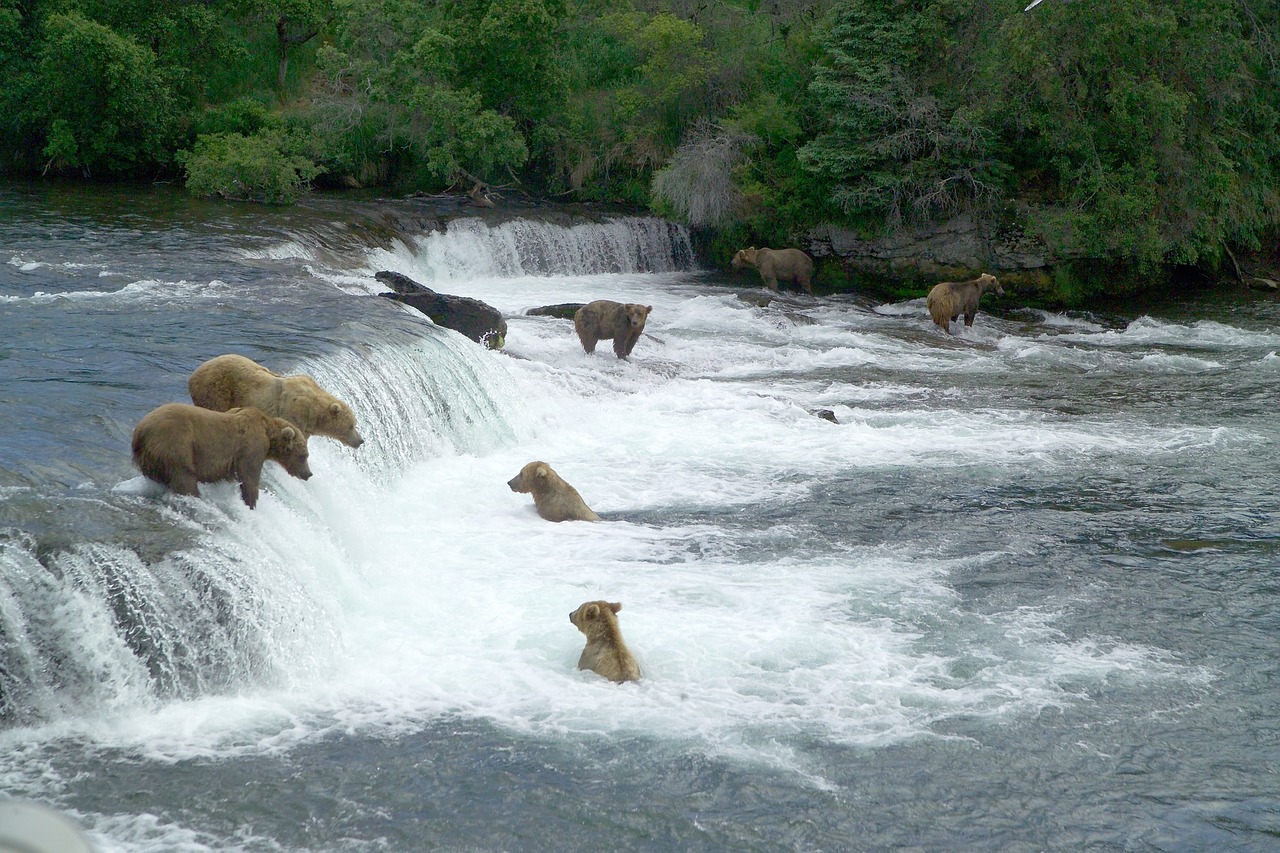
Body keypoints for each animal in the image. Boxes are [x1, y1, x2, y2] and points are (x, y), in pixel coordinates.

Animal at [129, 402, 312, 507]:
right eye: (304, 455)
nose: (308, 473)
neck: (268, 433)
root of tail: (140, 430)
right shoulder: (251, 447)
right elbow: (249, 476)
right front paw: (251, 501)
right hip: (175, 444)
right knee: (184, 477)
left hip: (150, 458)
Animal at [188, 350, 366, 448]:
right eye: (351, 426)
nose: (360, 440)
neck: (315, 414)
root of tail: (195, 372)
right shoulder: (295, 413)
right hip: (216, 388)